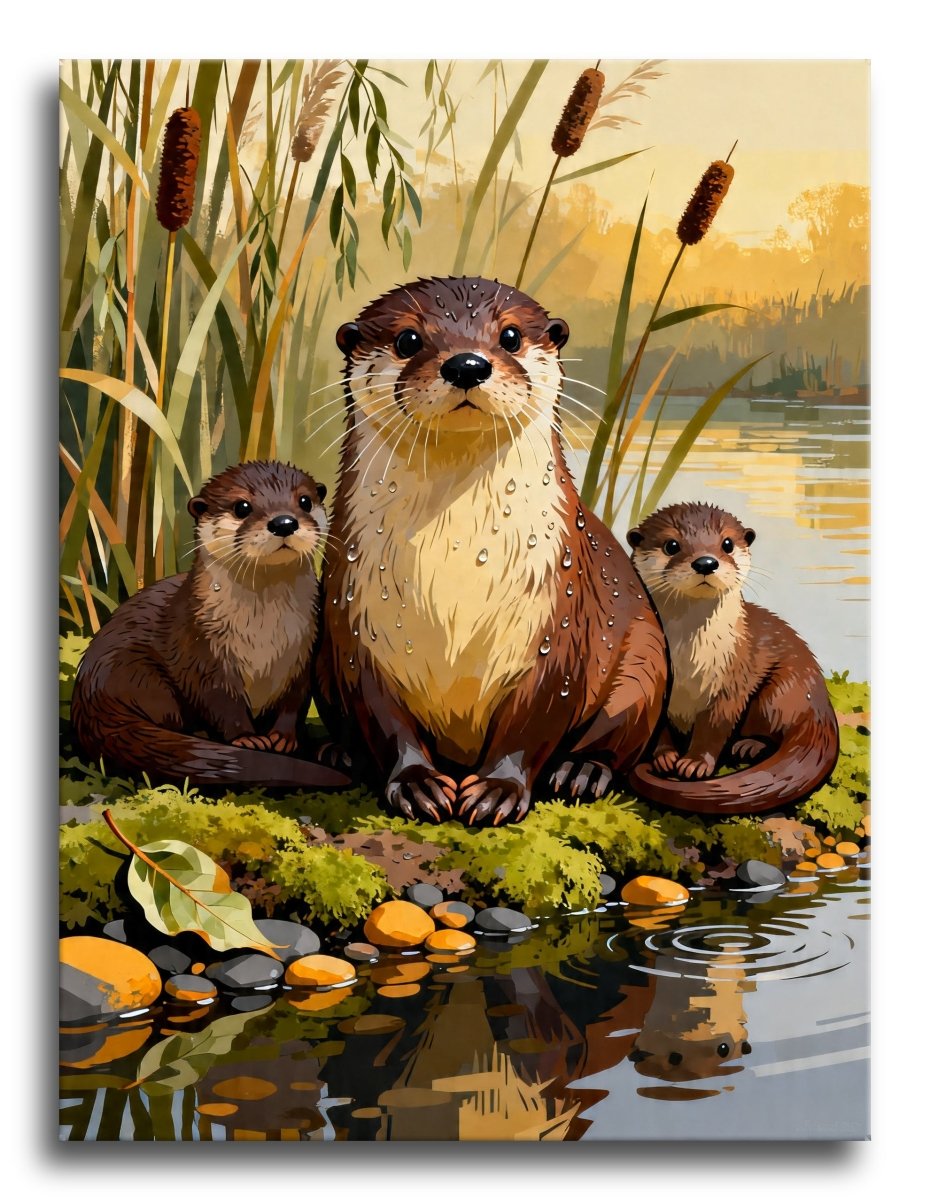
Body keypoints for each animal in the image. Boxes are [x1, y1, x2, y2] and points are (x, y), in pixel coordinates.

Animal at [71, 461, 350, 790]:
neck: (263, 634)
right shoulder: (201, 648)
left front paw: (282, 737)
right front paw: (247, 739)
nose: (284, 522)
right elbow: (220, 700)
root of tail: (88, 699)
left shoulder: (304, 650)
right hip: (138, 675)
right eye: (242, 507)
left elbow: (295, 700)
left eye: (305, 500)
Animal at [314, 276, 667, 825]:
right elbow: (382, 717)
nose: (466, 364)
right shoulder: (354, 623)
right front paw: (416, 783)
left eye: (511, 336)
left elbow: (534, 717)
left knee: (622, 729)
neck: (458, 561)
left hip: (646, 657)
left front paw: (499, 788)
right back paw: (340, 752)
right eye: (408, 340)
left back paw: (583, 771)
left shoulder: (559, 620)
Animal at [626, 501, 838, 814]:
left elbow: (716, 724)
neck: (688, 661)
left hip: (781, 693)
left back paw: (749, 745)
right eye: (671, 545)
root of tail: (821, 708)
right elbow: (658, 724)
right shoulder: (655, 672)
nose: (706, 562)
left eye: (727, 543)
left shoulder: (735, 674)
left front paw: (694, 763)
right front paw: (664, 756)